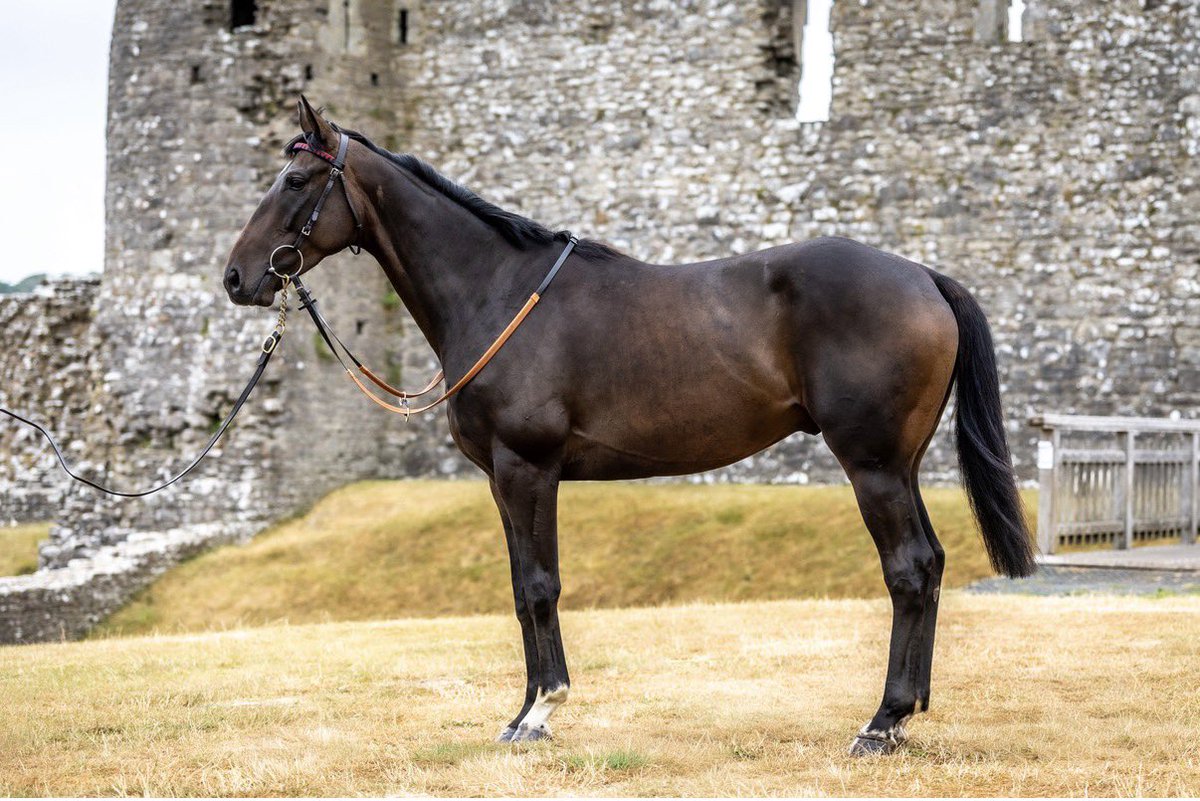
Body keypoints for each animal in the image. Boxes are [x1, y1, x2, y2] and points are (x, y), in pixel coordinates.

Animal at [223, 97, 1035, 755]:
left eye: (295, 181)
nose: (237, 277)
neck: (499, 291)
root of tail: (924, 277)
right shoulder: (502, 478)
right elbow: (521, 587)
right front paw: (522, 711)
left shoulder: (526, 468)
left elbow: (539, 586)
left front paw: (541, 713)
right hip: (900, 464)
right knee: (930, 564)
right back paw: (906, 713)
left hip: (871, 464)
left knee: (908, 568)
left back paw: (881, 722)